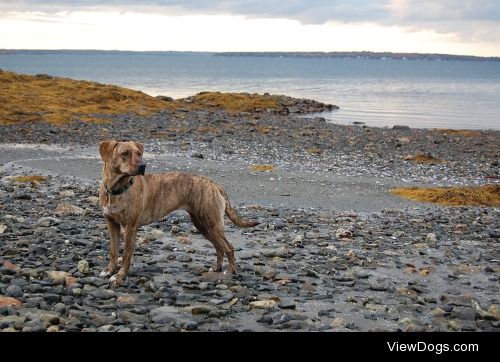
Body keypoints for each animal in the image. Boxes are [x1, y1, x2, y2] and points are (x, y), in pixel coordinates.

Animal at [99, 140, 260, 284]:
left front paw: (120, 276)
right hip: (203, 225)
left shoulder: (131, 227)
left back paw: (231, 272)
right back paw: (217, 268)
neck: (116, 190)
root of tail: (214, 184)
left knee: (228, 247)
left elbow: (126, 255)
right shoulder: (112, 224)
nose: (142, 165)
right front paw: (109, 270)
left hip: (212, 224)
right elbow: (114, 251)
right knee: (219, 247)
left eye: (139, 153)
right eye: (125, 153)